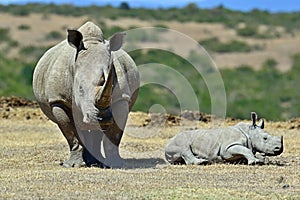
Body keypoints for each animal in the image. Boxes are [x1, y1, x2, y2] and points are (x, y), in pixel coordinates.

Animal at [32, 21, 141, 168]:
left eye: (112, 84)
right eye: (80, 89)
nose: (101, 117)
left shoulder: (121, 98)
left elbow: (114, 134)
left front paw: (115, 164)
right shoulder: (58, 100)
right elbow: (71, 134)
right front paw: (73, 165)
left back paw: (96, 162)